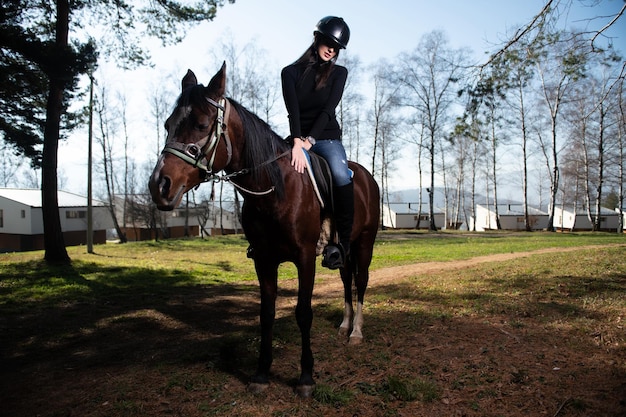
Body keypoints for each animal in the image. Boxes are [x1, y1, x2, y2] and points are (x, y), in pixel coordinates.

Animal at [149, 62, 378, 396]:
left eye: (202, 125)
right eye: (168, 124)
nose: (159, 185)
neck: (275, 189)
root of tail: (365, 176)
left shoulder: (305, 258)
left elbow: (303, 313)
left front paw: (305, 377)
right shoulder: (263, 259)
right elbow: (266, 314)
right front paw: (261, 373)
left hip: (364, 242)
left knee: (360, 282)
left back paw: (357, 332)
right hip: (343, 249)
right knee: (347, 280)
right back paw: (345, 326)